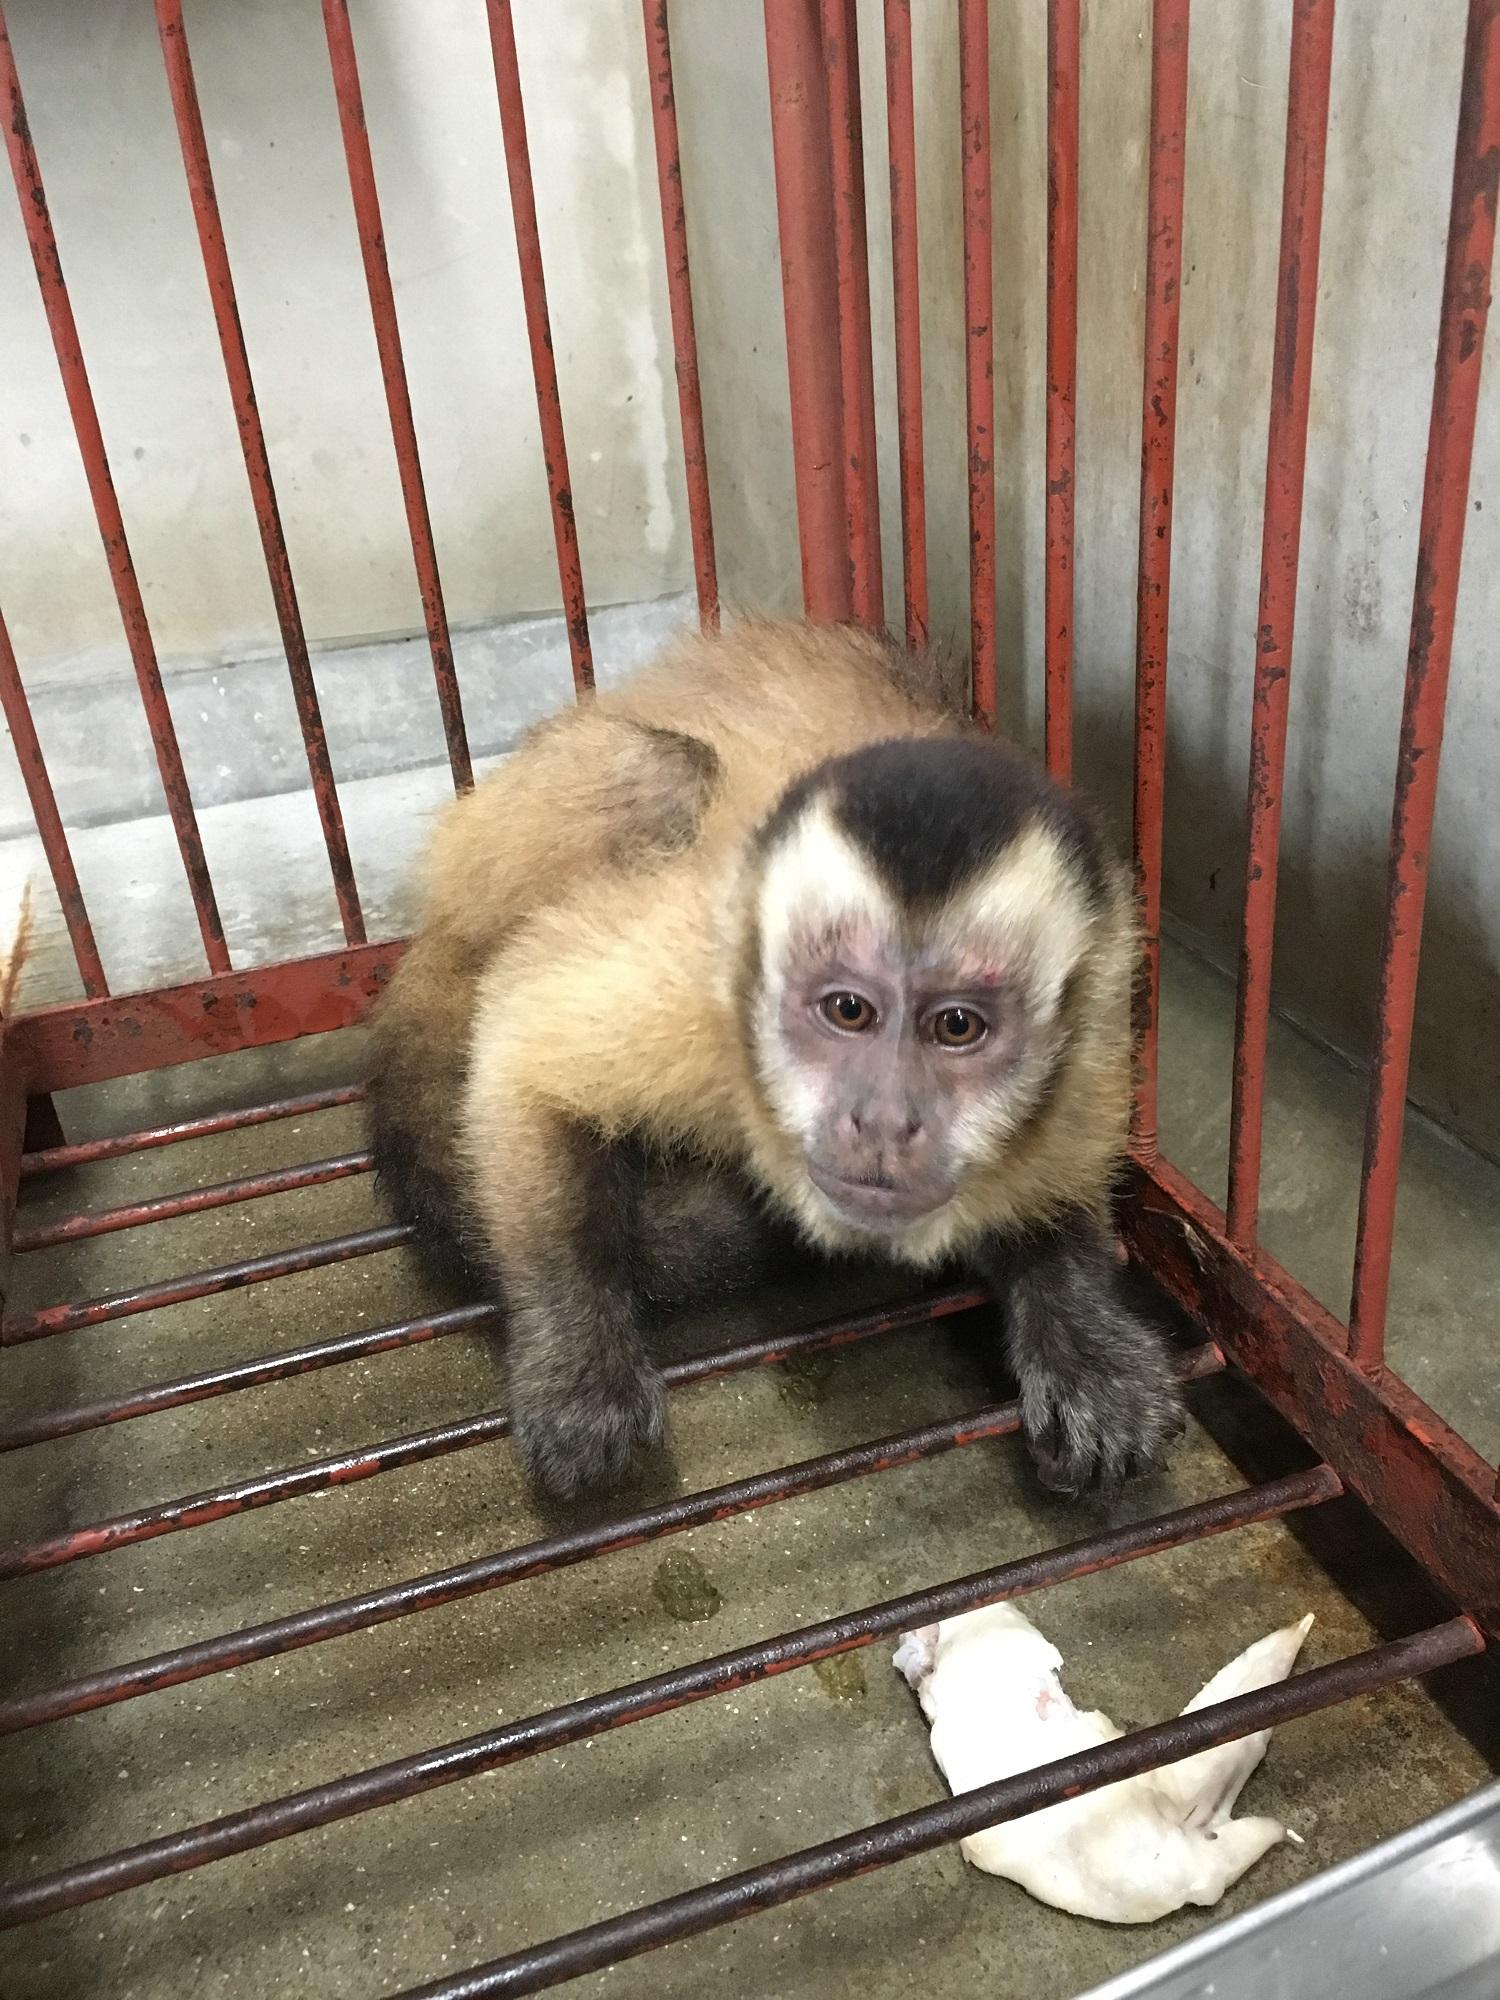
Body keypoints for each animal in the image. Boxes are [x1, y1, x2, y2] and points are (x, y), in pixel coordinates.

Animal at [368, 624, 1184, 1504]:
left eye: (958, 1027)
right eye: (847, 1011)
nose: (883, 1121)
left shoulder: (1099, 1016)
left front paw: (1081, 1330)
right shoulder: (700, 991)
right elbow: (524, 1056)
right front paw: (575, 1353)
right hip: (488, 846)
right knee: (661, 777)